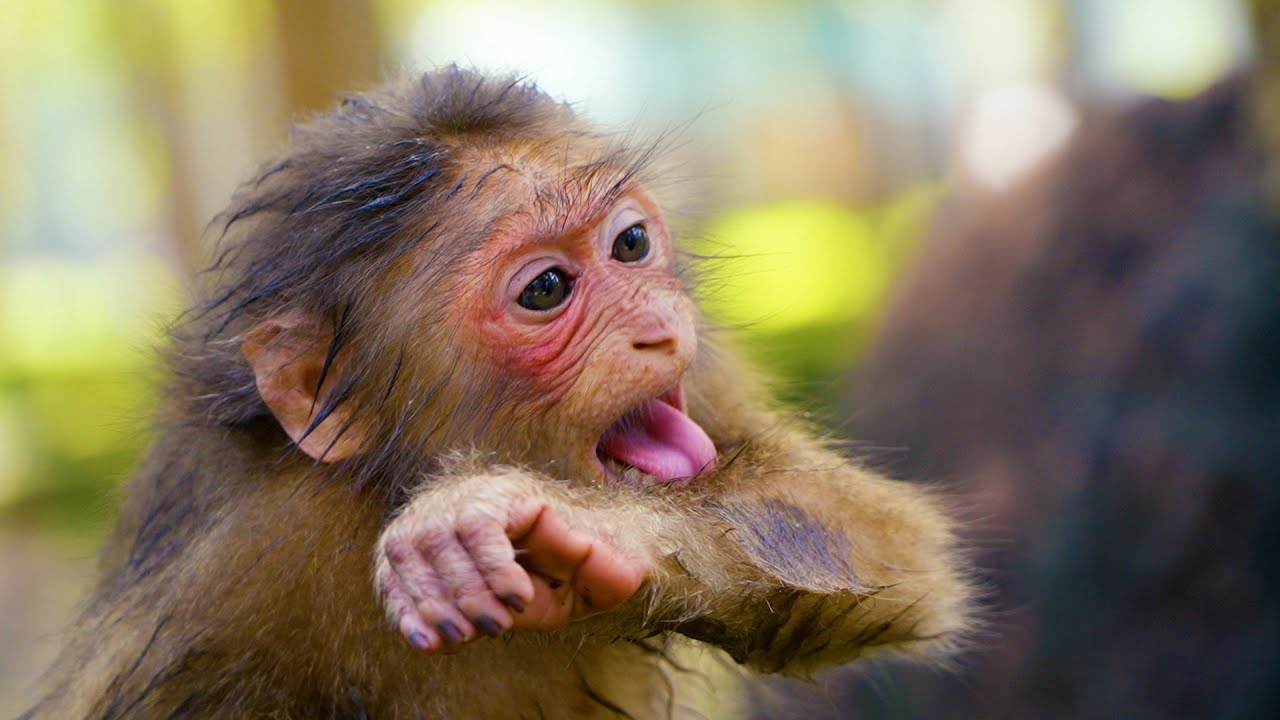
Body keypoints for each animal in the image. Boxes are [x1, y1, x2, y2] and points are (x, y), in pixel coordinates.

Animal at [23, 68, 970, 719]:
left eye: (631, 243)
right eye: (545, 290)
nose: (658, 330)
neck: (389, 480)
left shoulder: (711, 384)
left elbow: (885, 545)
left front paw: (535, 521)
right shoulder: (241, 562)